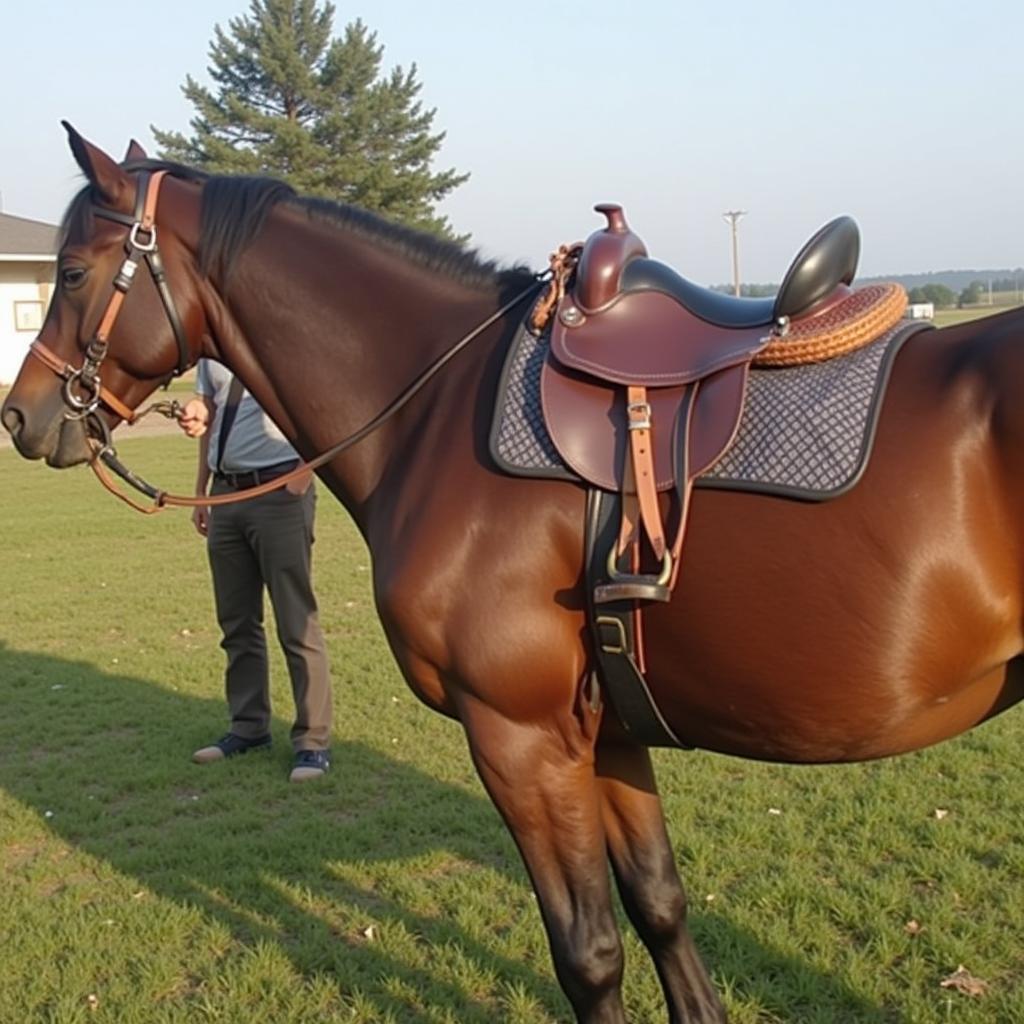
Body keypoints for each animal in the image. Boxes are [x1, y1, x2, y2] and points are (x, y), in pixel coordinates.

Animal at [2, 123, 1024, 1019]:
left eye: (72, 271)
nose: (22, 415)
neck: (435, 406)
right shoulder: (606, 731)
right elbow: (660, 909)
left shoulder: (519, 737)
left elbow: (590, 954)